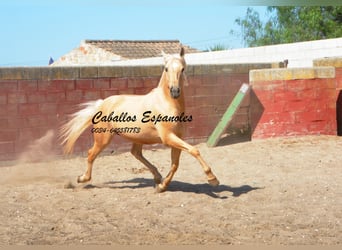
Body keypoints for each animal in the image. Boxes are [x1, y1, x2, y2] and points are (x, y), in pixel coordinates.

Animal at [60, 47, 220, 193]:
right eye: (166, 69)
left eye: (182, 69)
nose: (175, 91)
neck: (167, 104)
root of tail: (103, 103)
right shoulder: (168, 137)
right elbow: (194, 150)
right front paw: (212, 179)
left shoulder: (177, 138)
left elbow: (175, 164)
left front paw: (162, 186)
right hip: (103, 138)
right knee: (91, 154)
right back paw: (82, 178)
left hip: (137, 136)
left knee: (135, 153)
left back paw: (157, 177)